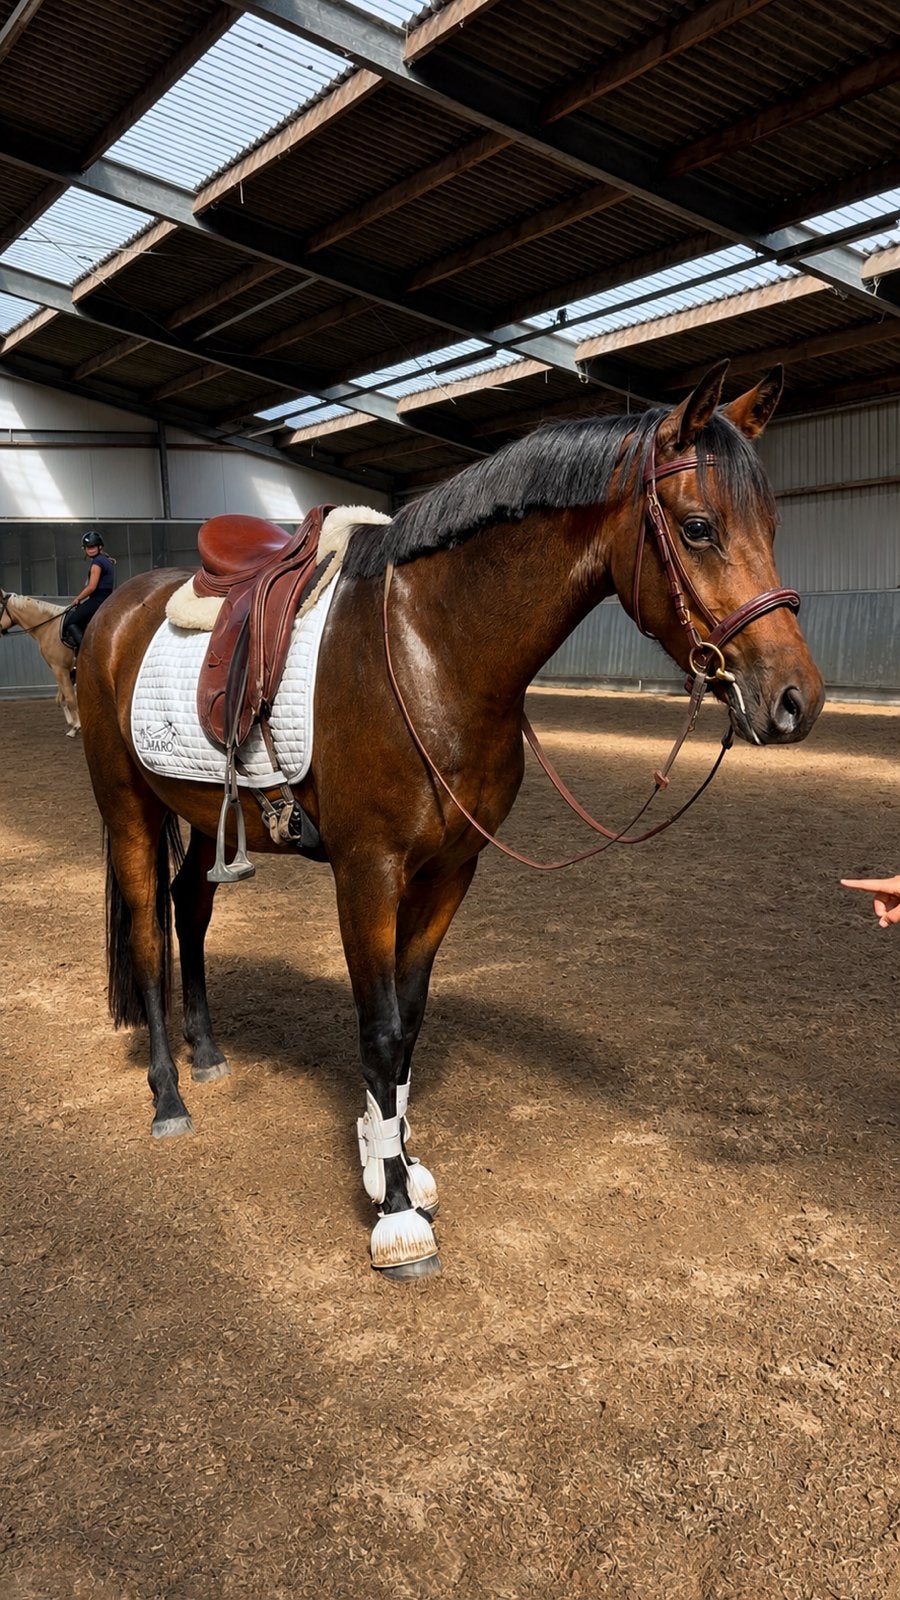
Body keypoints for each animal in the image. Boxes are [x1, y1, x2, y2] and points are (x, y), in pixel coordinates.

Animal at [0, 590, 79, 736]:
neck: (49, 626)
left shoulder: (60, 669)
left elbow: (70, 698)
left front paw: (77, 726)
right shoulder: (61, 670)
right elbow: (61, 698)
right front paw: (72, 725)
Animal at [76, 360, 825, 1280]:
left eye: (772, 525)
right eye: (697, 528)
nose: (796, 700)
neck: (430, 649)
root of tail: (116, 612)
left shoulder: (449, 871)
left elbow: (410, 1020)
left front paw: (391, 1159)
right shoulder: (368, 872)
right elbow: (379, 1029)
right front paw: (396, 1216)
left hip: (205, 818)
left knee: (191, 907)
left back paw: (210, 1055)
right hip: (129, 811)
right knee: (149, 936)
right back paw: (169, 1096)